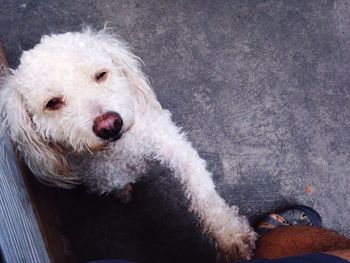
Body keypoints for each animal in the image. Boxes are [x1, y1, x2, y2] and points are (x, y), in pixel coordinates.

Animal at [0, 28, 258, 260]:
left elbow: (202, 191)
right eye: (52, 103)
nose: (109, 124)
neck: (120, 150)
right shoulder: (105, 176)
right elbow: (118, 181)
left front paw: (230, 234)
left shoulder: (168, 141)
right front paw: (123, 192)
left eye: (101, 74)